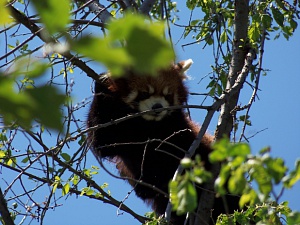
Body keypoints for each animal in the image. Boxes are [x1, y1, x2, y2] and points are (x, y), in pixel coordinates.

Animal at [86, 60, 239, 225]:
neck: (148, 125)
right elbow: (101, 140)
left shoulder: (180, 131)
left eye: (168, 95)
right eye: (144, 93)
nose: (158, 107)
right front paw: (102, 82)